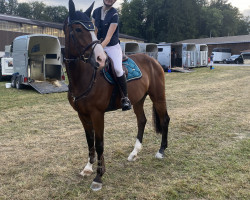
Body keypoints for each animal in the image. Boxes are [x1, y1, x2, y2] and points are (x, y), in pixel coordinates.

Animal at [63, 0, 171, 191]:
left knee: (164, 119)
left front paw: (98, 177)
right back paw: (134, 153)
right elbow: (89, 140)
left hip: (158, 96)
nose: (100, 59)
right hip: (138, 100)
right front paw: (87, 168)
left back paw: (161, 151)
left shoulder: (97, 114)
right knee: (142, 120)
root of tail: (154, 61)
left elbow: (99, 143)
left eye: (93, 29)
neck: (85, 76)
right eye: (78, 29)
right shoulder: (82, 115)